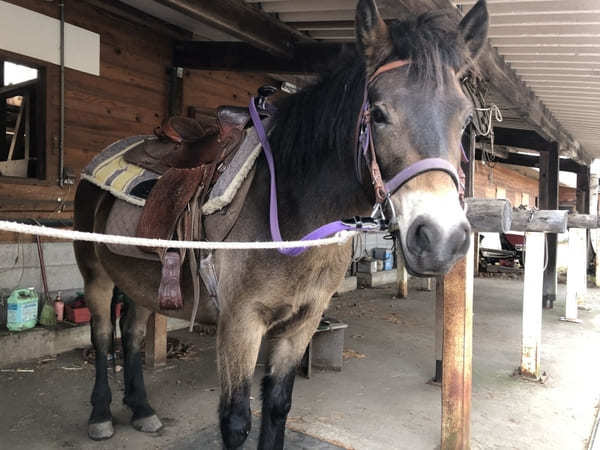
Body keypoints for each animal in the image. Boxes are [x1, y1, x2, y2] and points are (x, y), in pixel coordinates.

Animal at [74, 1, 488, 448]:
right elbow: (236, 421)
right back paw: (100, 414)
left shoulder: (302, 323)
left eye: (466, 120)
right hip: (95, 274)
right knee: (102, 335)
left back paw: (142, 409)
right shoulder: (240, 324)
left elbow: (277, 406)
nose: (441, 239)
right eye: (377, 113)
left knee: (132, 333)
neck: (294, 212)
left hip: (140, 281)